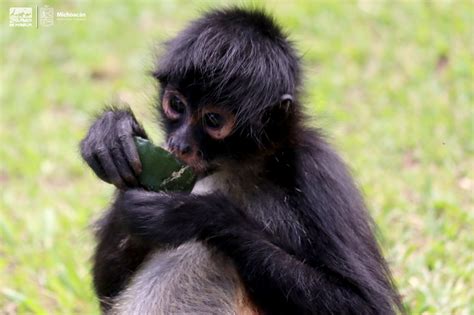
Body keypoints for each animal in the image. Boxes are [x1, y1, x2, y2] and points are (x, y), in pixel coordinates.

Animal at [79, 6, 402, 315]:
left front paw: (194, 214)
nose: (179, 144)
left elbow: (366, 304)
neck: (240, 165)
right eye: (176, 104)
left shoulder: (317, 170)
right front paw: (113, 133)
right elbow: (107, 289)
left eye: (213, 120)